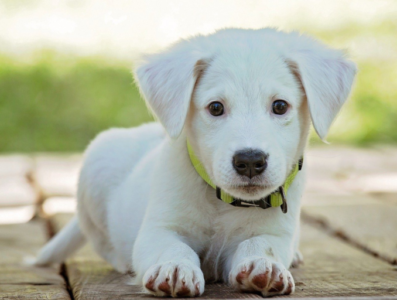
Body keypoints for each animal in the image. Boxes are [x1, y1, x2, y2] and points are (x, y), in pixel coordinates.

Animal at [34, 28, 356, 298]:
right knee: (104, 244)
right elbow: (172, 247)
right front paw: (175, 268)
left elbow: (260, 244)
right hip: (96, 166)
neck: (222, 202)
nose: (250, 161)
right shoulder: (159, 229)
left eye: (280, 106)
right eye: (215, 108)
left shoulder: (276, 233)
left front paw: (263, 265)